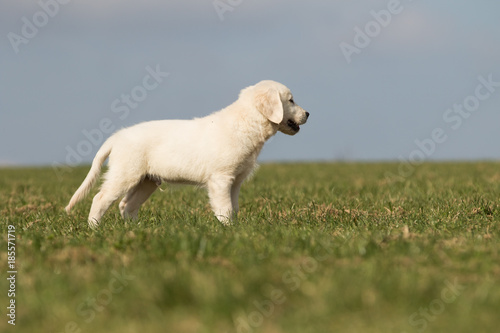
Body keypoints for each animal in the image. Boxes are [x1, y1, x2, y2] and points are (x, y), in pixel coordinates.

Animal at [65, 79, 308, 227]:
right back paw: (94, 229)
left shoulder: (236, 181)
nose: (308, 114)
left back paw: (135, 228)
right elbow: (225, 208)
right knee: (100, 198)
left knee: (127, 205)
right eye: (291, 100)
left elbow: (234, 207)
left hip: (146, 181)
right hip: (124, 174)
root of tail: (116, 137)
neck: (246, 122)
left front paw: (235, 228)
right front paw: (227, 229)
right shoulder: (221, 179)